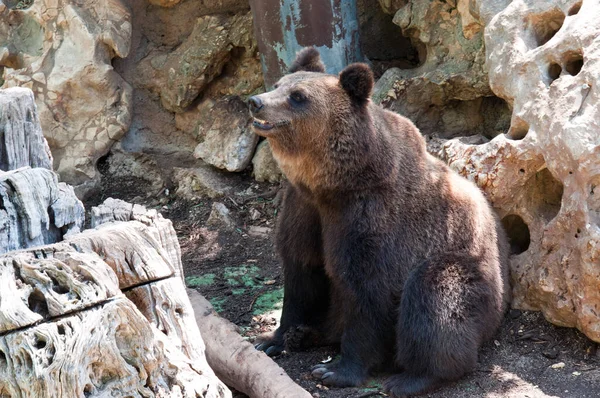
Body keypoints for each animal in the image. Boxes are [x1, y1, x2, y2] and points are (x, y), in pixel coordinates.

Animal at [246, 48, 508, 396]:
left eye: (298, 96)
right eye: (278, 84)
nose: (255, 101)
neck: (332, 185)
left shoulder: (370, 218)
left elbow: (368, 292)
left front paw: (336, 370)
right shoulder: (304, 209)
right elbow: (302, 272)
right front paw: (271, 339)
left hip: (470, 271)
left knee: (433, 296)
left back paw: (412, 377)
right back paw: (307, 334)